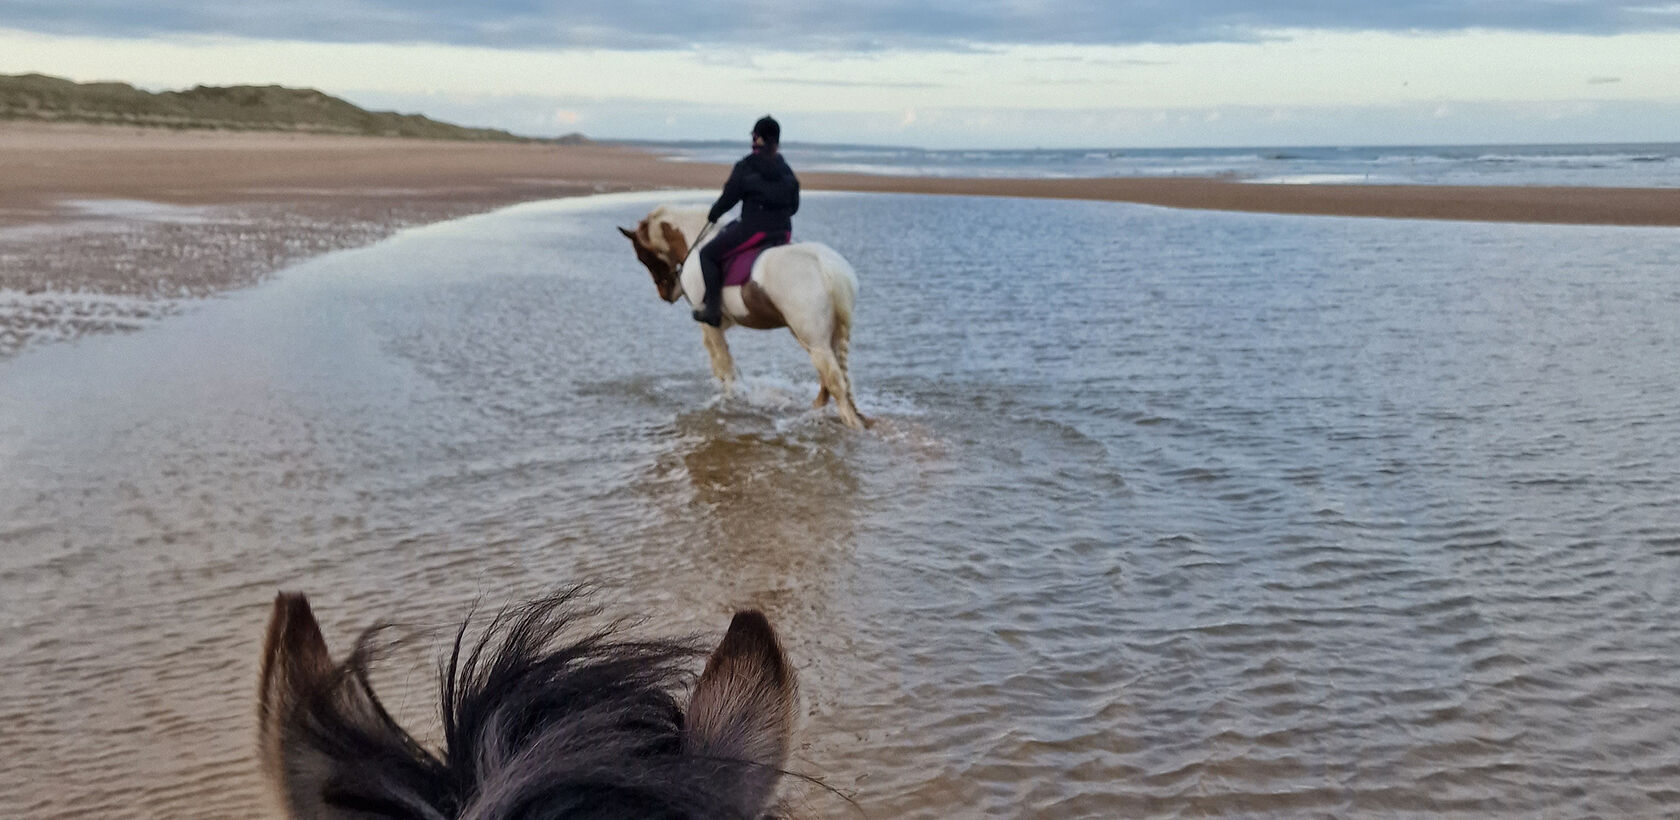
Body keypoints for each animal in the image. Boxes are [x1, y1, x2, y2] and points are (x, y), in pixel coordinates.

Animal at [624, 206, 873, 428]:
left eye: (641, 255)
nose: (665, 294)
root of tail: (828, 268)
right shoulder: (723, 323)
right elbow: (720, 360)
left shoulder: (710, 323)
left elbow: (722, 361)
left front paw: (730, 397)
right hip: (821, 338)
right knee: (830, 379)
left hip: (815, 341)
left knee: (834, 381)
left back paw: (850, 424)